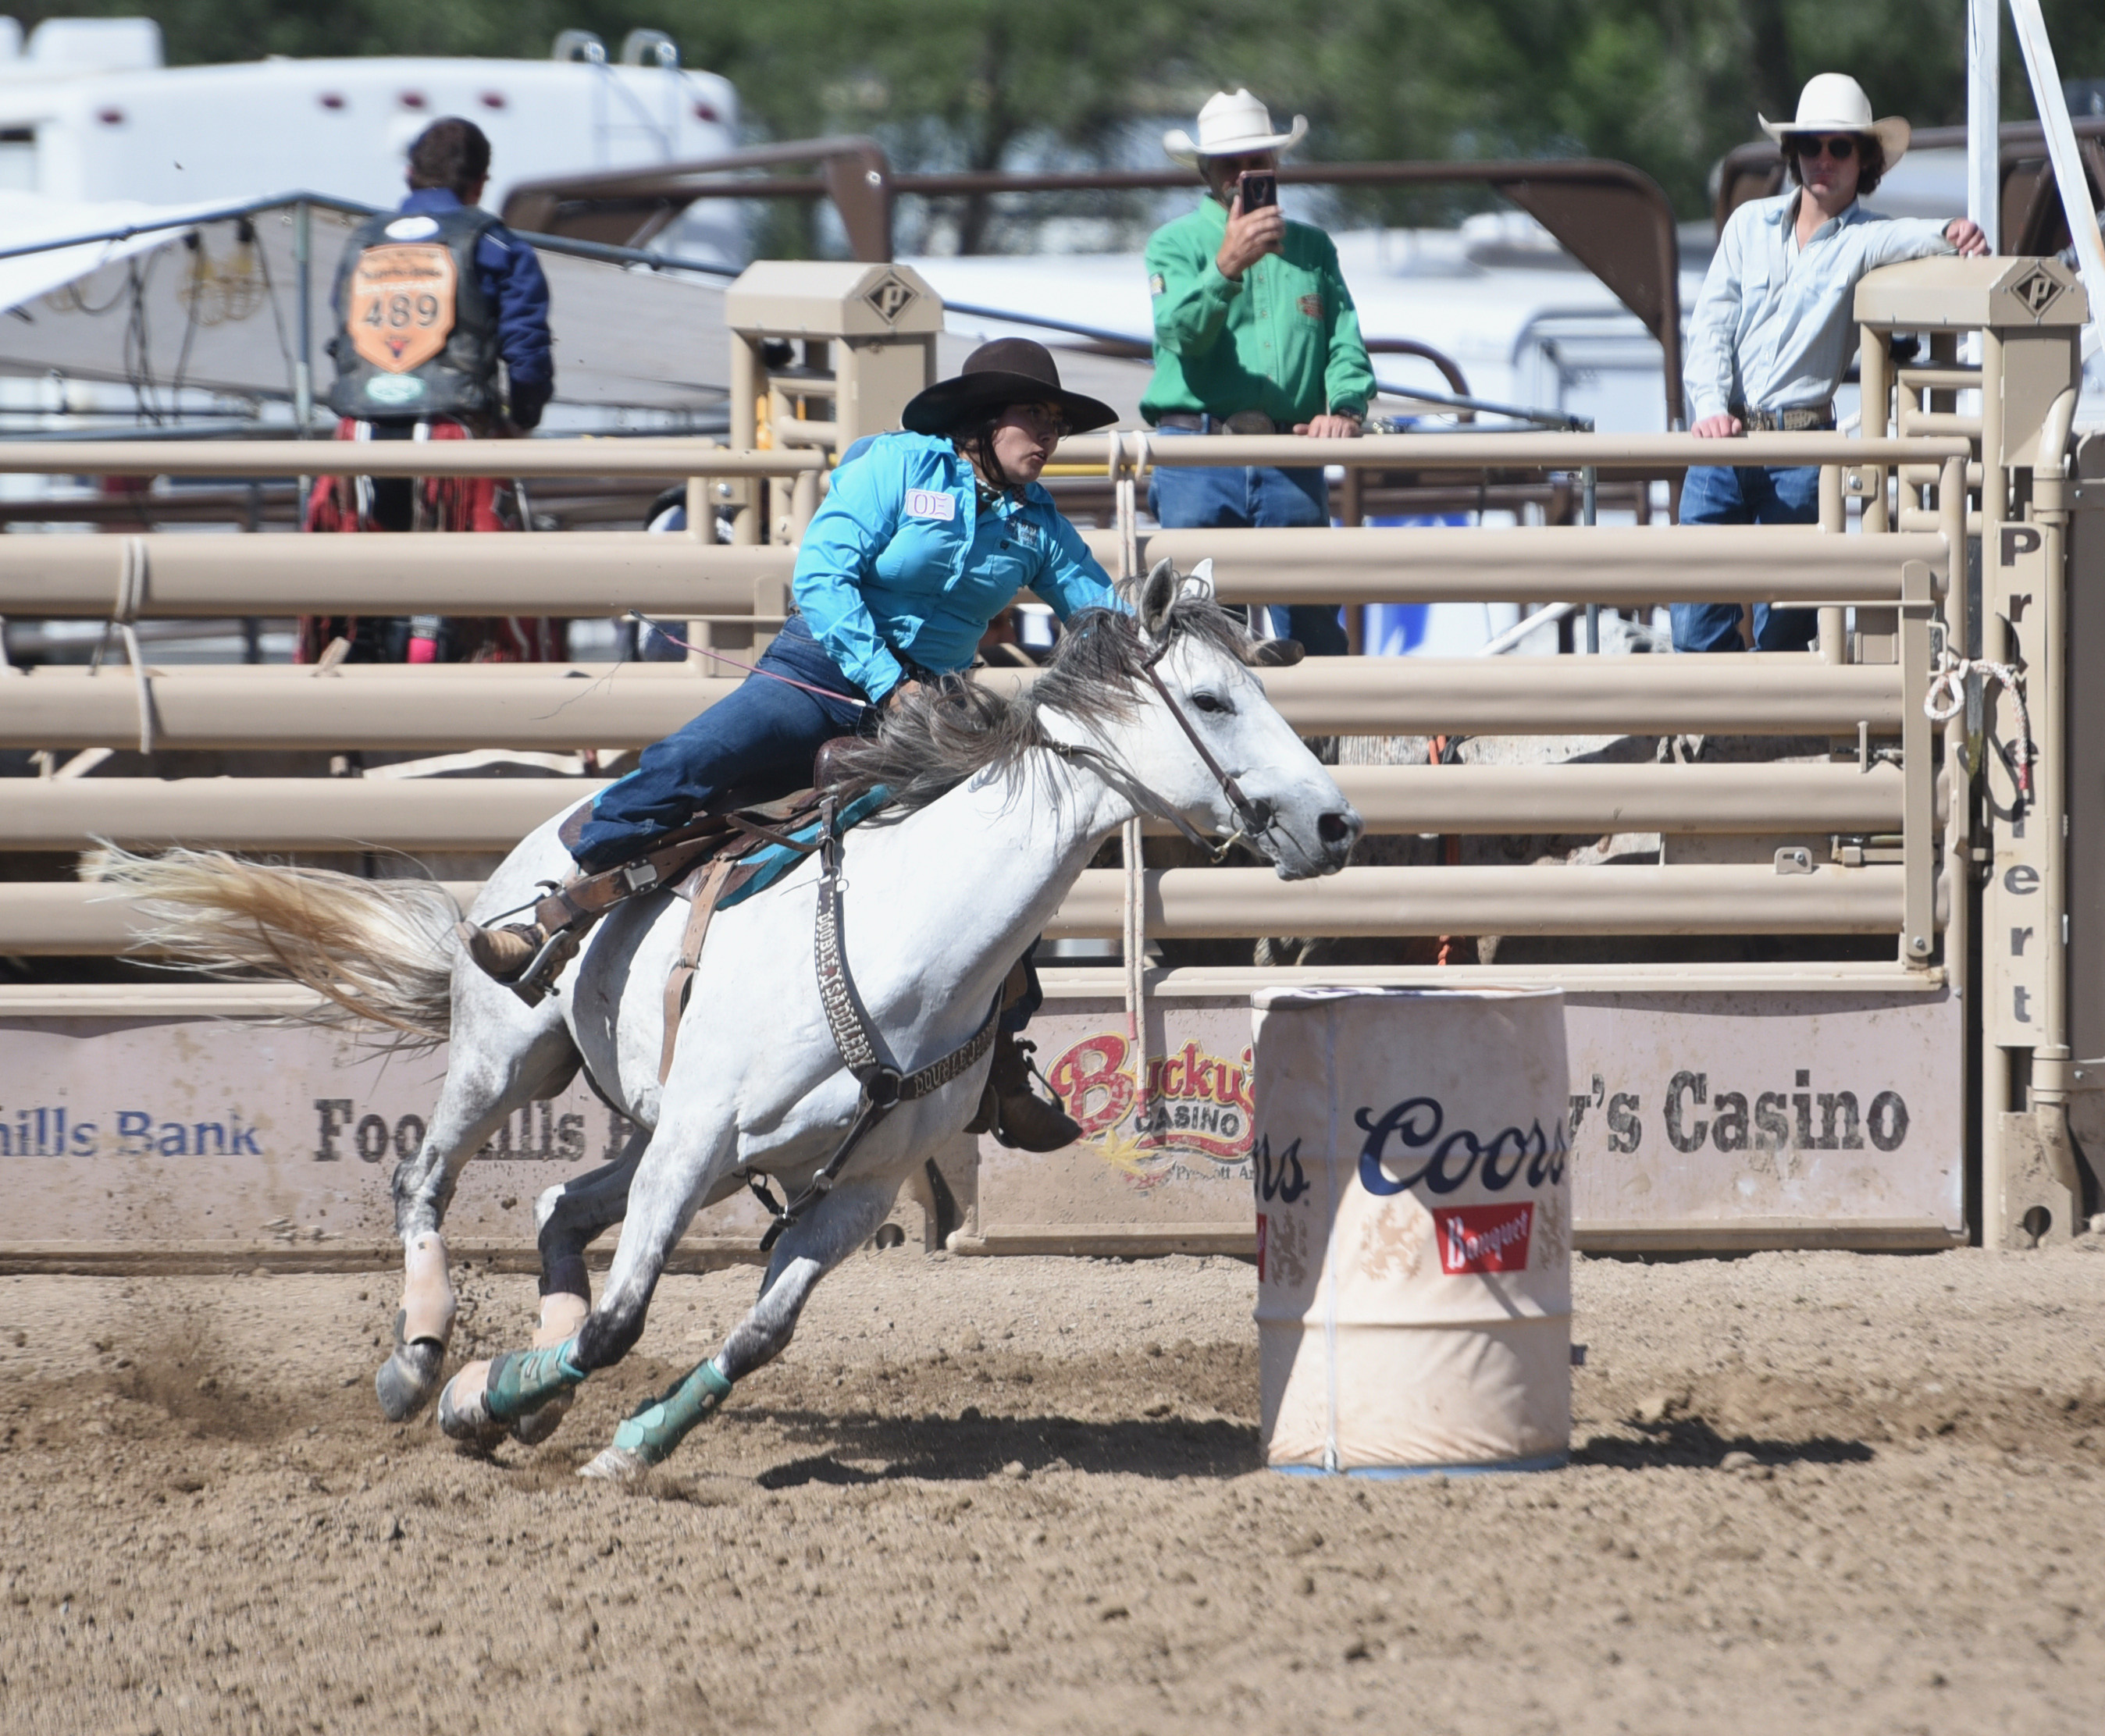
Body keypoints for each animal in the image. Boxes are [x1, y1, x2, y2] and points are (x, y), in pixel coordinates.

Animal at [102, 564, 1364, 1481]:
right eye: (1212, 700)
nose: (1336, 824)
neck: (909, 942)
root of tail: (539, 830)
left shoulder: (851, 1189)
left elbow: (756, 1336)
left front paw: (619, 1440)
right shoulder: (702, 1133)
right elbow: (621, 1322)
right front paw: (483, 1394)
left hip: (682, 1141)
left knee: (562, 1207)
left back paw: (526, 1385)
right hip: (524, 1065)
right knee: (427, 1181)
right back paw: (422, 1365)